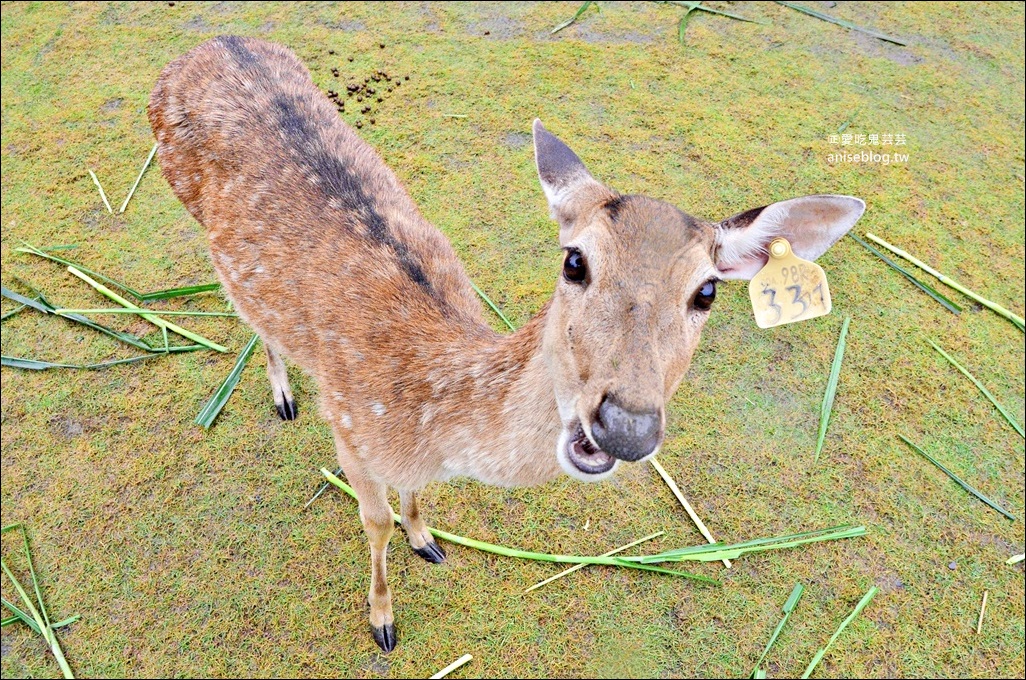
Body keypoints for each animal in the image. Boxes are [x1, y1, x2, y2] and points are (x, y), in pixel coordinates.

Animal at [146, 34, 865, 652]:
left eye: (707, 291)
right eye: (575, 261)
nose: (626, 426)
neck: (427, 411)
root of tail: (206, 45)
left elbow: (413, 502)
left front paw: (426, 539)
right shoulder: (351, 426)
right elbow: (373, 523)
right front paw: (382, 621)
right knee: (251, 316)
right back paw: (283, 395)